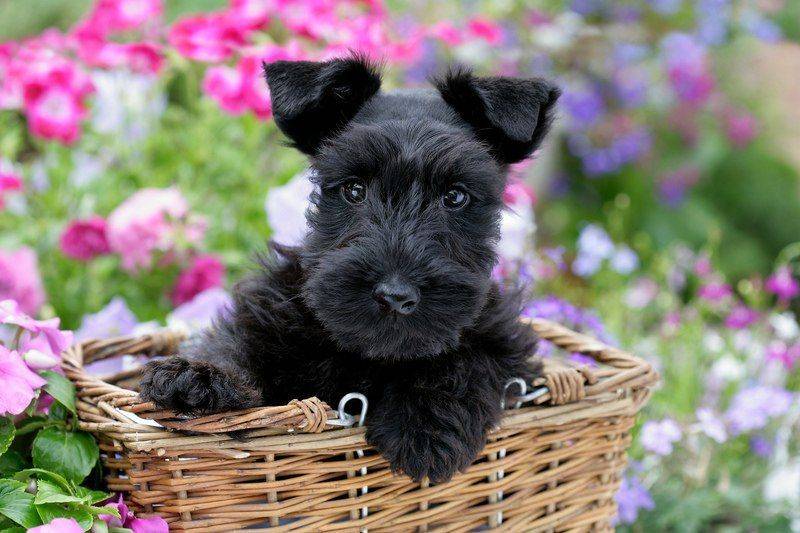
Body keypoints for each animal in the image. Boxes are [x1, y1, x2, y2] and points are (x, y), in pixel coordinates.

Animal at [141, 56, 560, 484]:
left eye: (456, 196)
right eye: (354, 189)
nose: (395, 296)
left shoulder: (505, 342)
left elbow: (468, 358)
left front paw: (427, 424)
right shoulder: (268, 312)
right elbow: (236, 342)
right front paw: (199, 376)